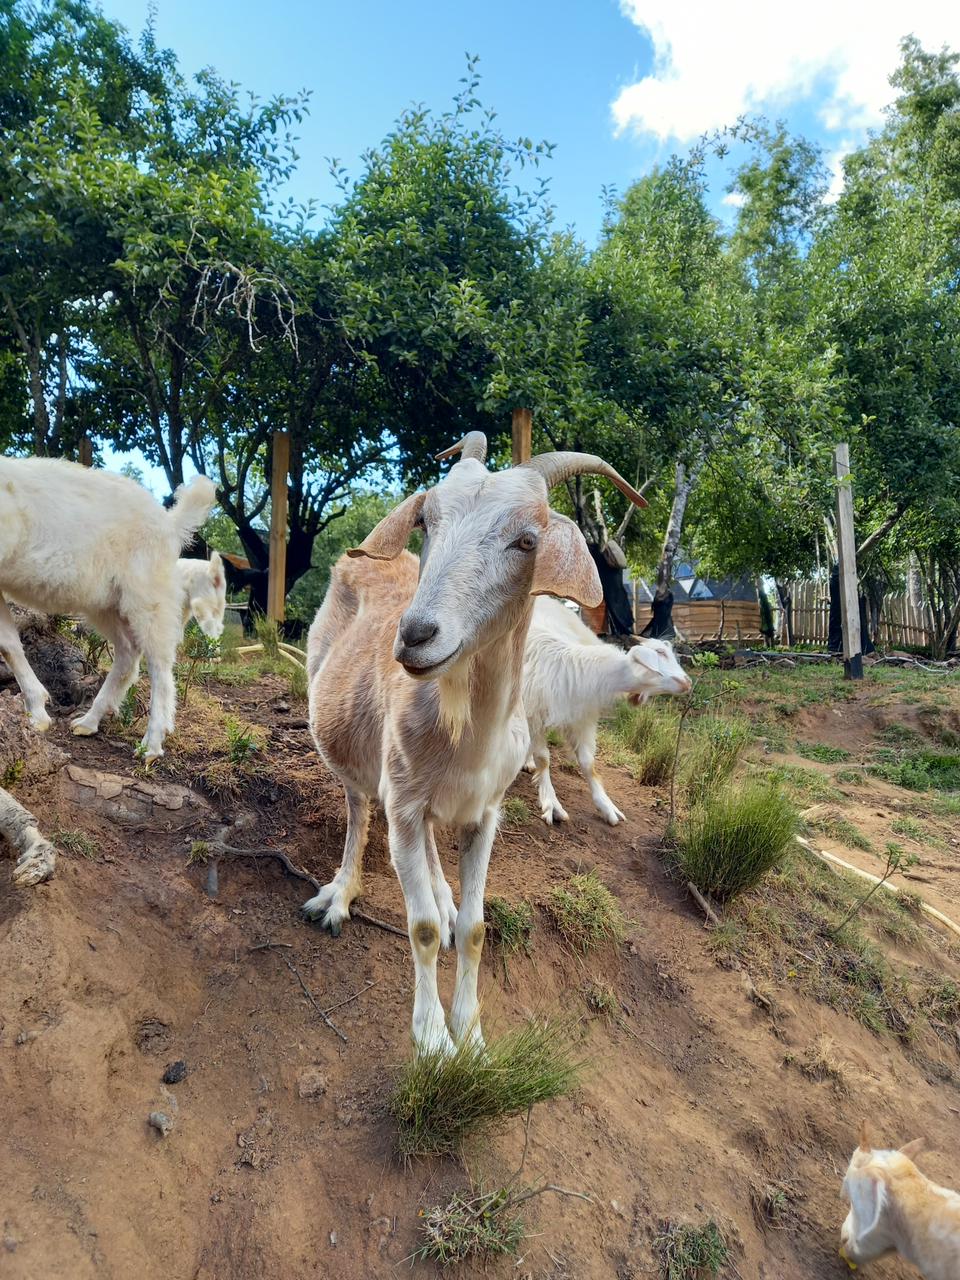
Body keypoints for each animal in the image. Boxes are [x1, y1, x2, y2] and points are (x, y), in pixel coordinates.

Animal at [0, 458, 220, 757]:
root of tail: (170, 523)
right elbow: (8, 643)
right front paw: (37, 713)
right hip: (106, 603)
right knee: (128, 653)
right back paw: (89, 721)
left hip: (148, 595)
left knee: (160, 664)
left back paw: (152, 744)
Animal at [300, 430, 647, 1049]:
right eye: (427, 521)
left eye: (527, 539)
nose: (416, 635)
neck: (463, 735)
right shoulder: (404, 804)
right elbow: (421, 927)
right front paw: (435, 1042)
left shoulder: (485, 812)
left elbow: (475, 927)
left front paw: (471, 1033)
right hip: (348, 747)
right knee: (359, 809)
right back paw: (340, 896)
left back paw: (439, 891)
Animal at [527, 593, 691, 824]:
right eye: (660, 652)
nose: (687, 682)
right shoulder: (534, 716)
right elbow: (543, 759)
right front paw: (552, 804)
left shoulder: (581, 719)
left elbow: (588, 763)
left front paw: (607, 807)